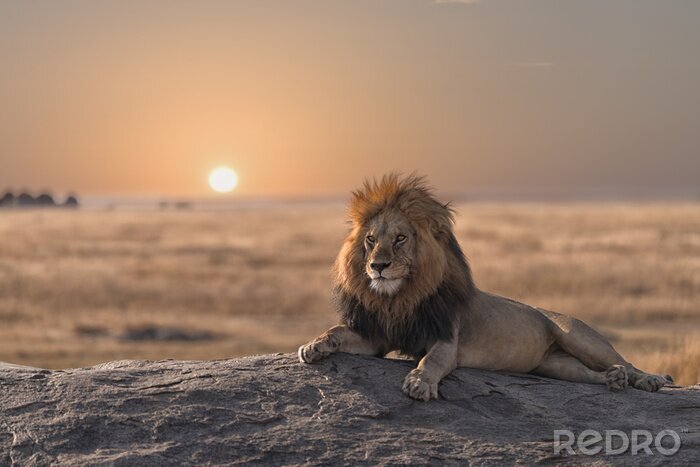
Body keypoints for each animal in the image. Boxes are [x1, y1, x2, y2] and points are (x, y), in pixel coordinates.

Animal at [298, 174, 668, 400]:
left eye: (401, 239)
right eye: (371, 240)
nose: (378, 266)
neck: (400, 297)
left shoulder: (446, 339)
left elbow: (430, 361)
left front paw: (419, 382)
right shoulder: (377, 336)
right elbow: (337, 331)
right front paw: (313, 346)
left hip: (579, 336)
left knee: (624, 361)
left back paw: (647, 379)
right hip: (555, 365)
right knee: (591, 374)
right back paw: (612, 381)